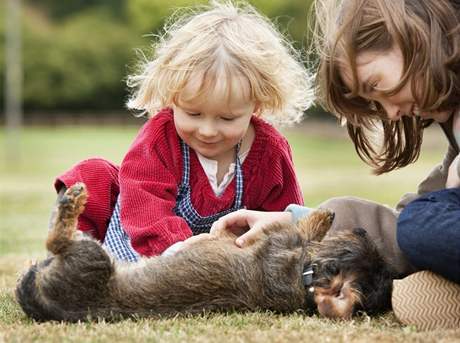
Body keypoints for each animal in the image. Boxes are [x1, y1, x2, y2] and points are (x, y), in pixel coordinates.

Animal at [14, 184, 396, 322]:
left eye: (348, 249)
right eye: (359, 242)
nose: (363, 229)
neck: (302, 276)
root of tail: (43, 302)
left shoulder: (278, 239)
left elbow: (305, 226)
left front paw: (321, 216)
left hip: (90, 256)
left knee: (57, 240)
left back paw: (70, 201)